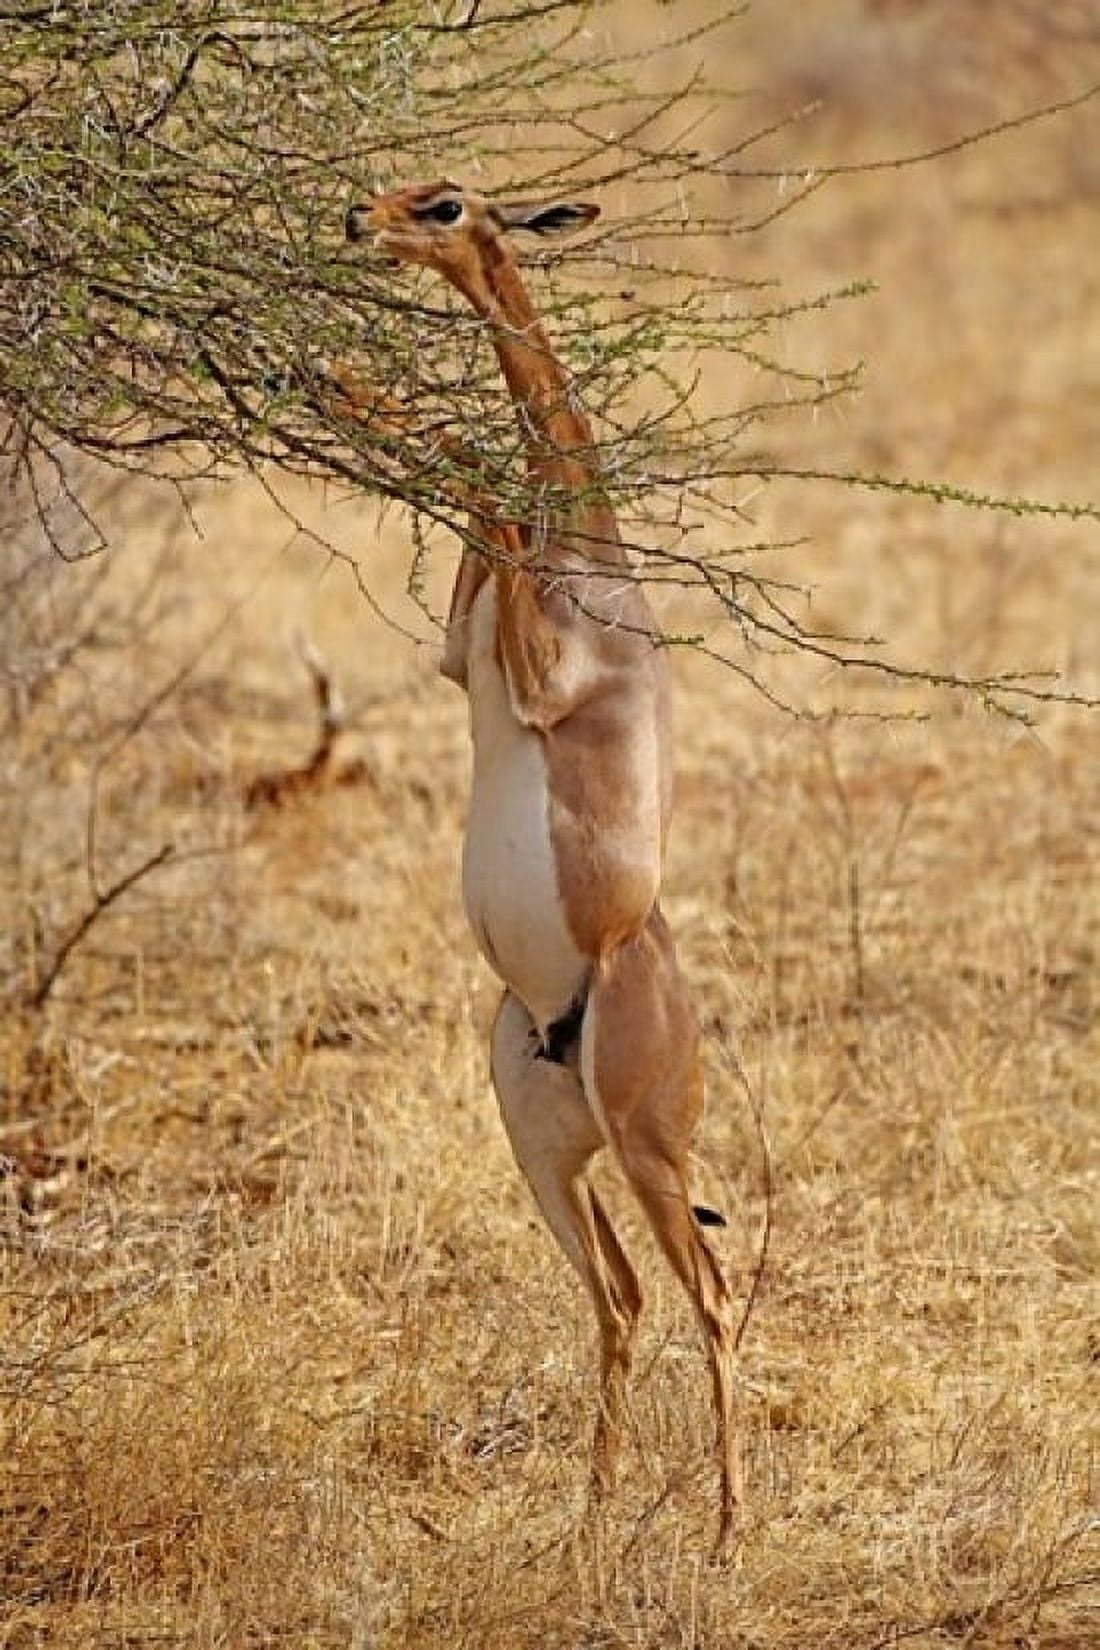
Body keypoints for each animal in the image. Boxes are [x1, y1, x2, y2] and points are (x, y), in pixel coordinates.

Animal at [345, 181, 742, 1553]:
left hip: (647, 1149)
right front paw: (354, 392)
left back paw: (725, 1535)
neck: (595, 560)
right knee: (619, 1296)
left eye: (447, 203)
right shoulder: (460, 657)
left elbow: (481, 478)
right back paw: (588, 1519)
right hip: (541, 1145)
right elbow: (479, 489)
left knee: (710, 1295)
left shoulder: (532, 675)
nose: (358, 223)